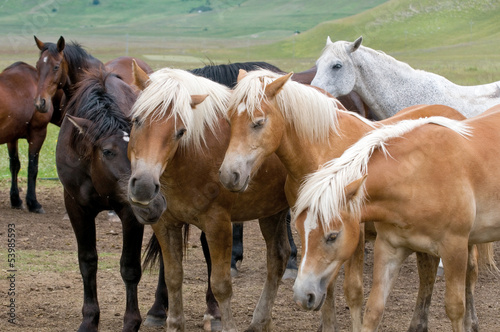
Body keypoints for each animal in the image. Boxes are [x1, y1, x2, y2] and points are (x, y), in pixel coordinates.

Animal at [0, 62, 64, 213]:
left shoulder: (12, 137)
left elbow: (14, 165)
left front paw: (16, 199)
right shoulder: (38, 133)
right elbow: (32, 167)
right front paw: (33, 202)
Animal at [127, 66, 292, 330]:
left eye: (180, 131)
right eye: (136, 120)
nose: (143, 186)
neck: (194, 154)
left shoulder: (218, 225)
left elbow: (221, 285)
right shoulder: (165, 224)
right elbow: (173, 277)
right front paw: (173, 324)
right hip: (272, 212)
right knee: (278, 259)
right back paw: (260, 321)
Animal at [217, 68, 478, 330]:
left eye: (258, 122)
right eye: (229, 121)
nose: (230, 175)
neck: (322, 154)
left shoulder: (353, 231)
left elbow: (353, 291)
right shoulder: (315, 233)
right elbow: (326, 286)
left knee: (468, 272)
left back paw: (471, 321)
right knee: (428, 272)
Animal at [292, 105, 500, 332]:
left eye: (332, 236)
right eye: (300, 231)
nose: (303, 295)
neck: (418, 179)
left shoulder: (454, 248)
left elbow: (455, 308)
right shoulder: (389, 248)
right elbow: (373, 310)